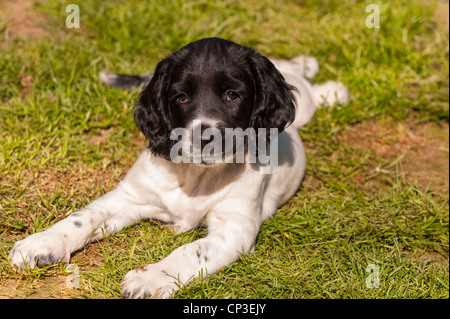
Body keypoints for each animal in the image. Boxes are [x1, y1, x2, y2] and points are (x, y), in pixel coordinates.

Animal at [8, 37, 350, 300]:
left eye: (233, 95)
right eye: (181, 97)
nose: (205, 137)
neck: (196, 176)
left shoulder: (235, 227)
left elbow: (191, 251)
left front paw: (151, 277)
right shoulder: (130, 197)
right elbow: (83, 216)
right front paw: (44, 242)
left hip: (303, 106)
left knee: (306, 89)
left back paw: (330, 87)